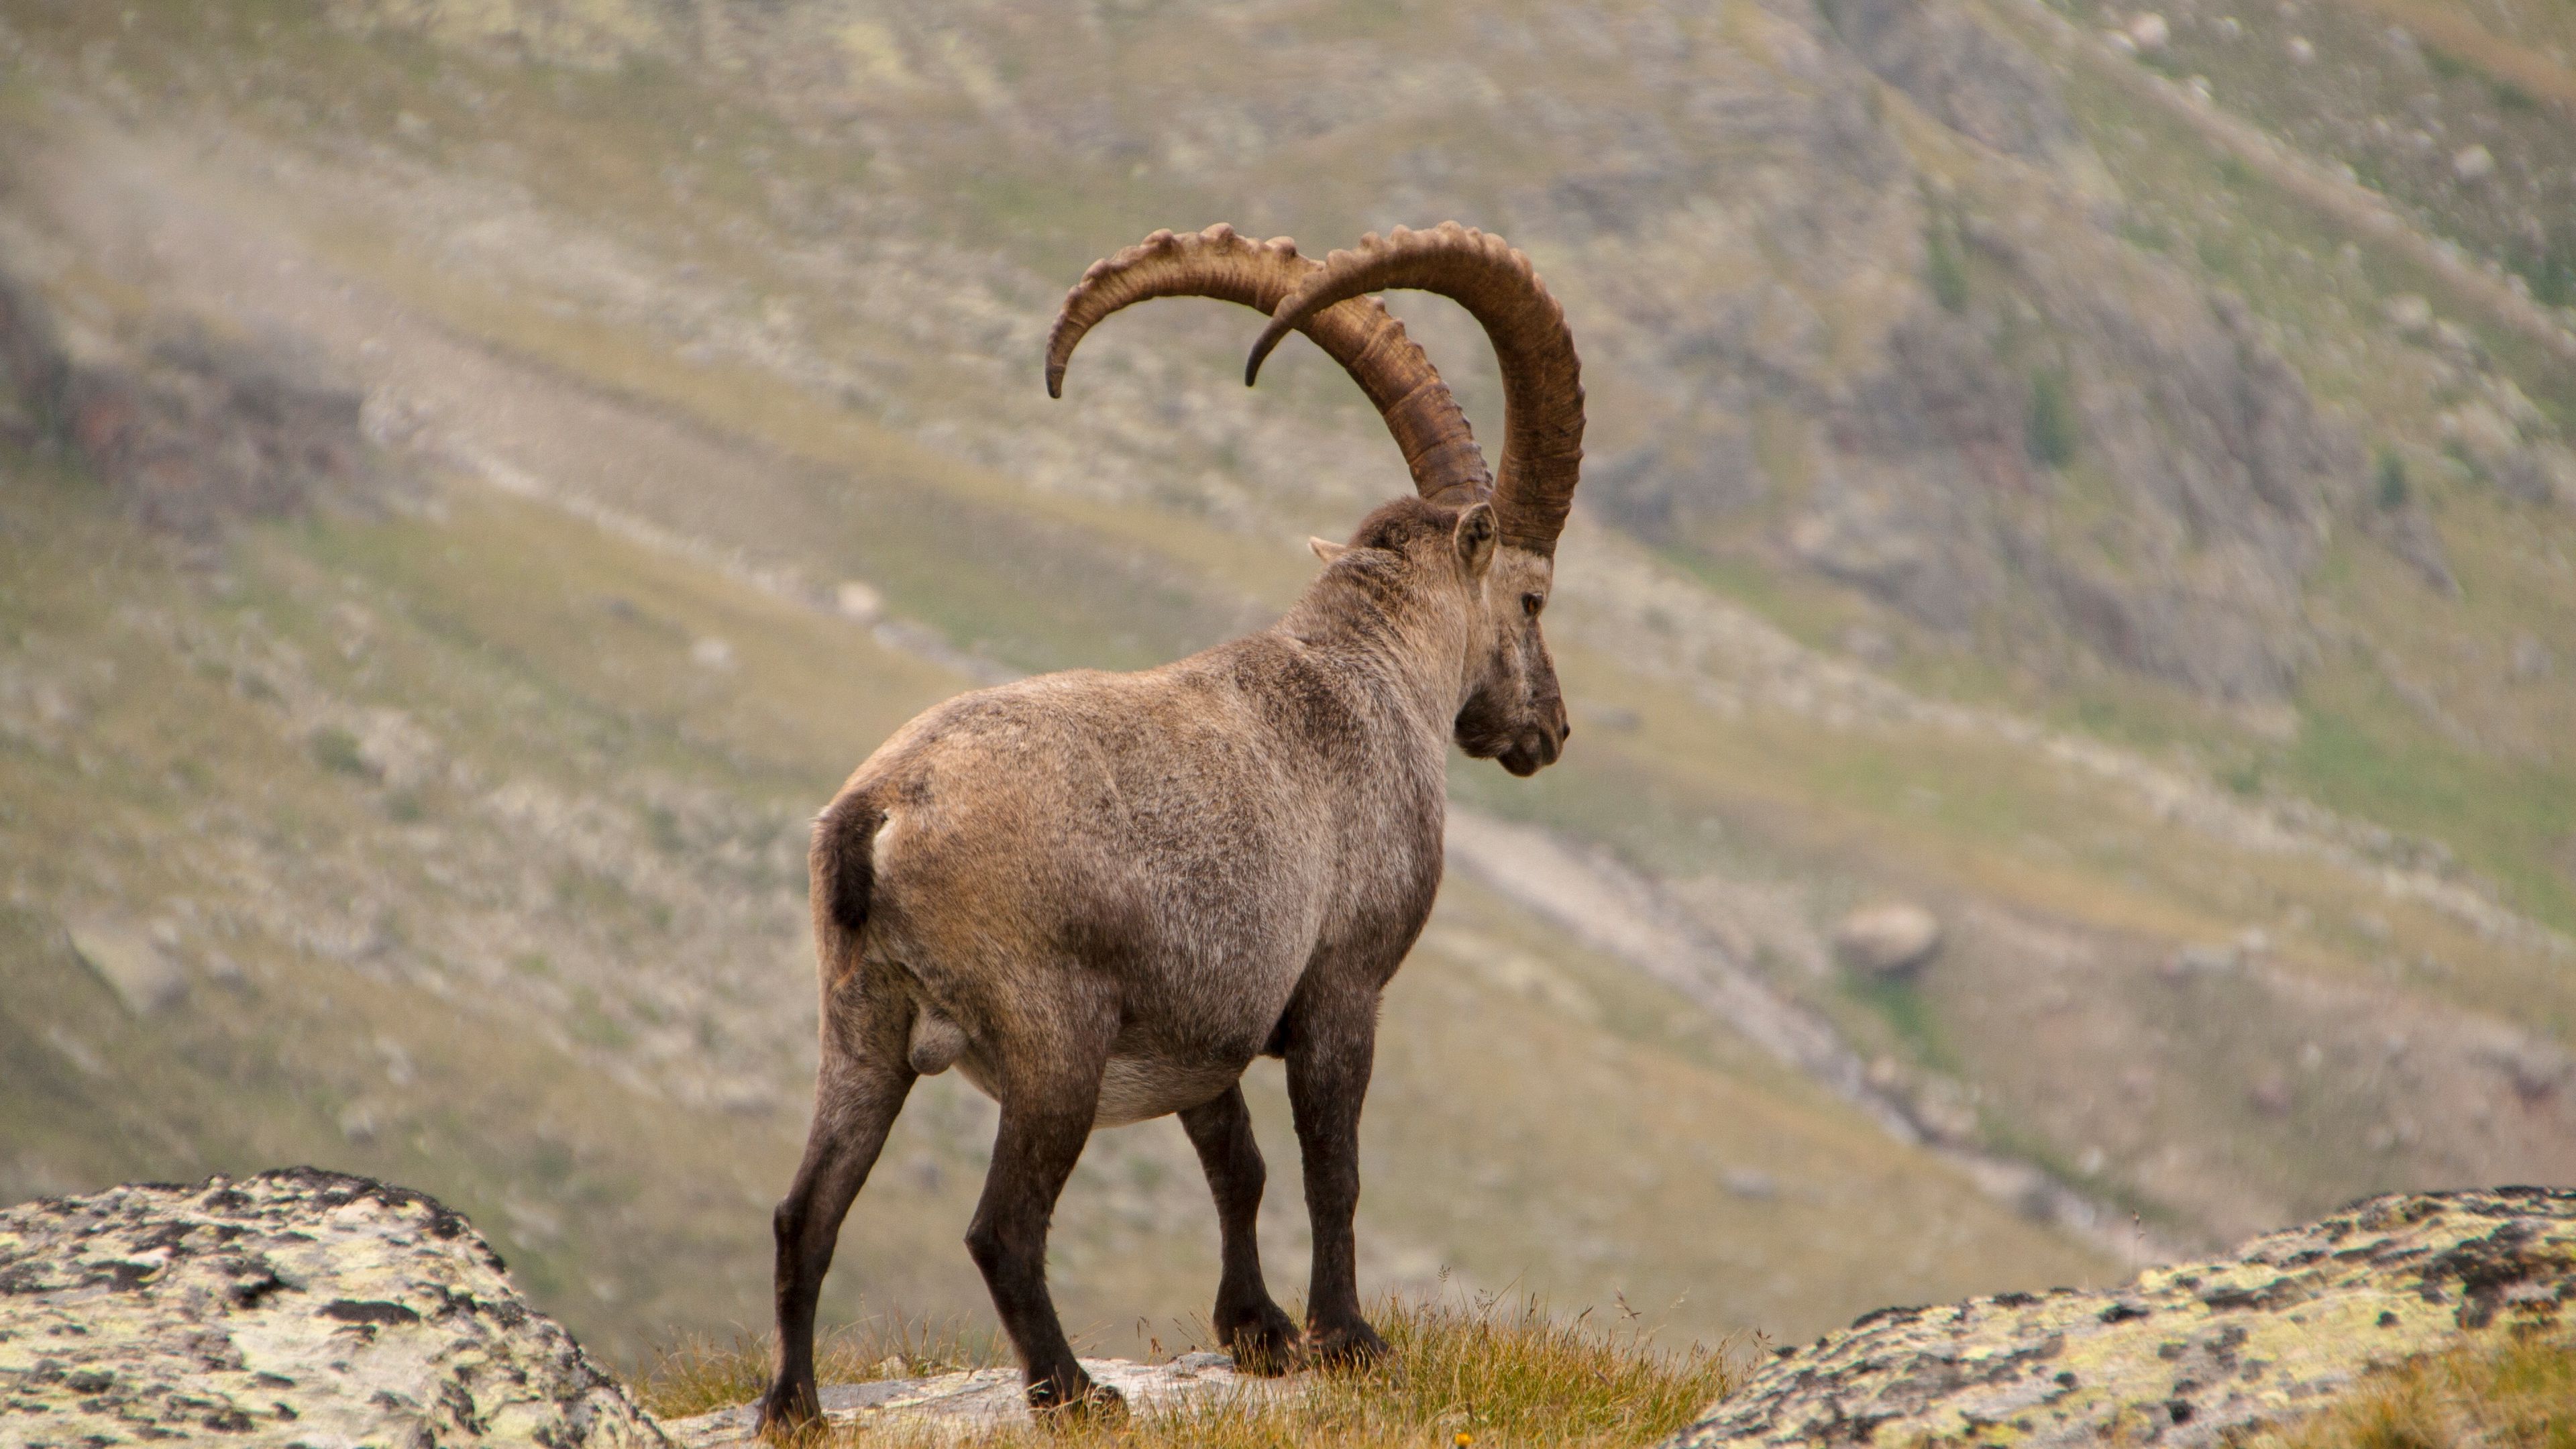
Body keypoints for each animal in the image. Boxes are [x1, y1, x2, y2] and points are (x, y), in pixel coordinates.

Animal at [757, 222, 1585, 1428]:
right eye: (1531, 599)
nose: (1549, 730)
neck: (1366, 675)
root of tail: (878, 815)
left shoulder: (1212, 1022)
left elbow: (1235, 1165)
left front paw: (1259, 1332)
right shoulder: (1342, 987)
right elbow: (1330, 1166)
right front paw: (1349, 1339)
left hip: (861, 1023)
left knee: (803, 1213)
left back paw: (797, 1408)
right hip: (1053, 1040)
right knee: (1001, 1229)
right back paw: (1073, 1392)